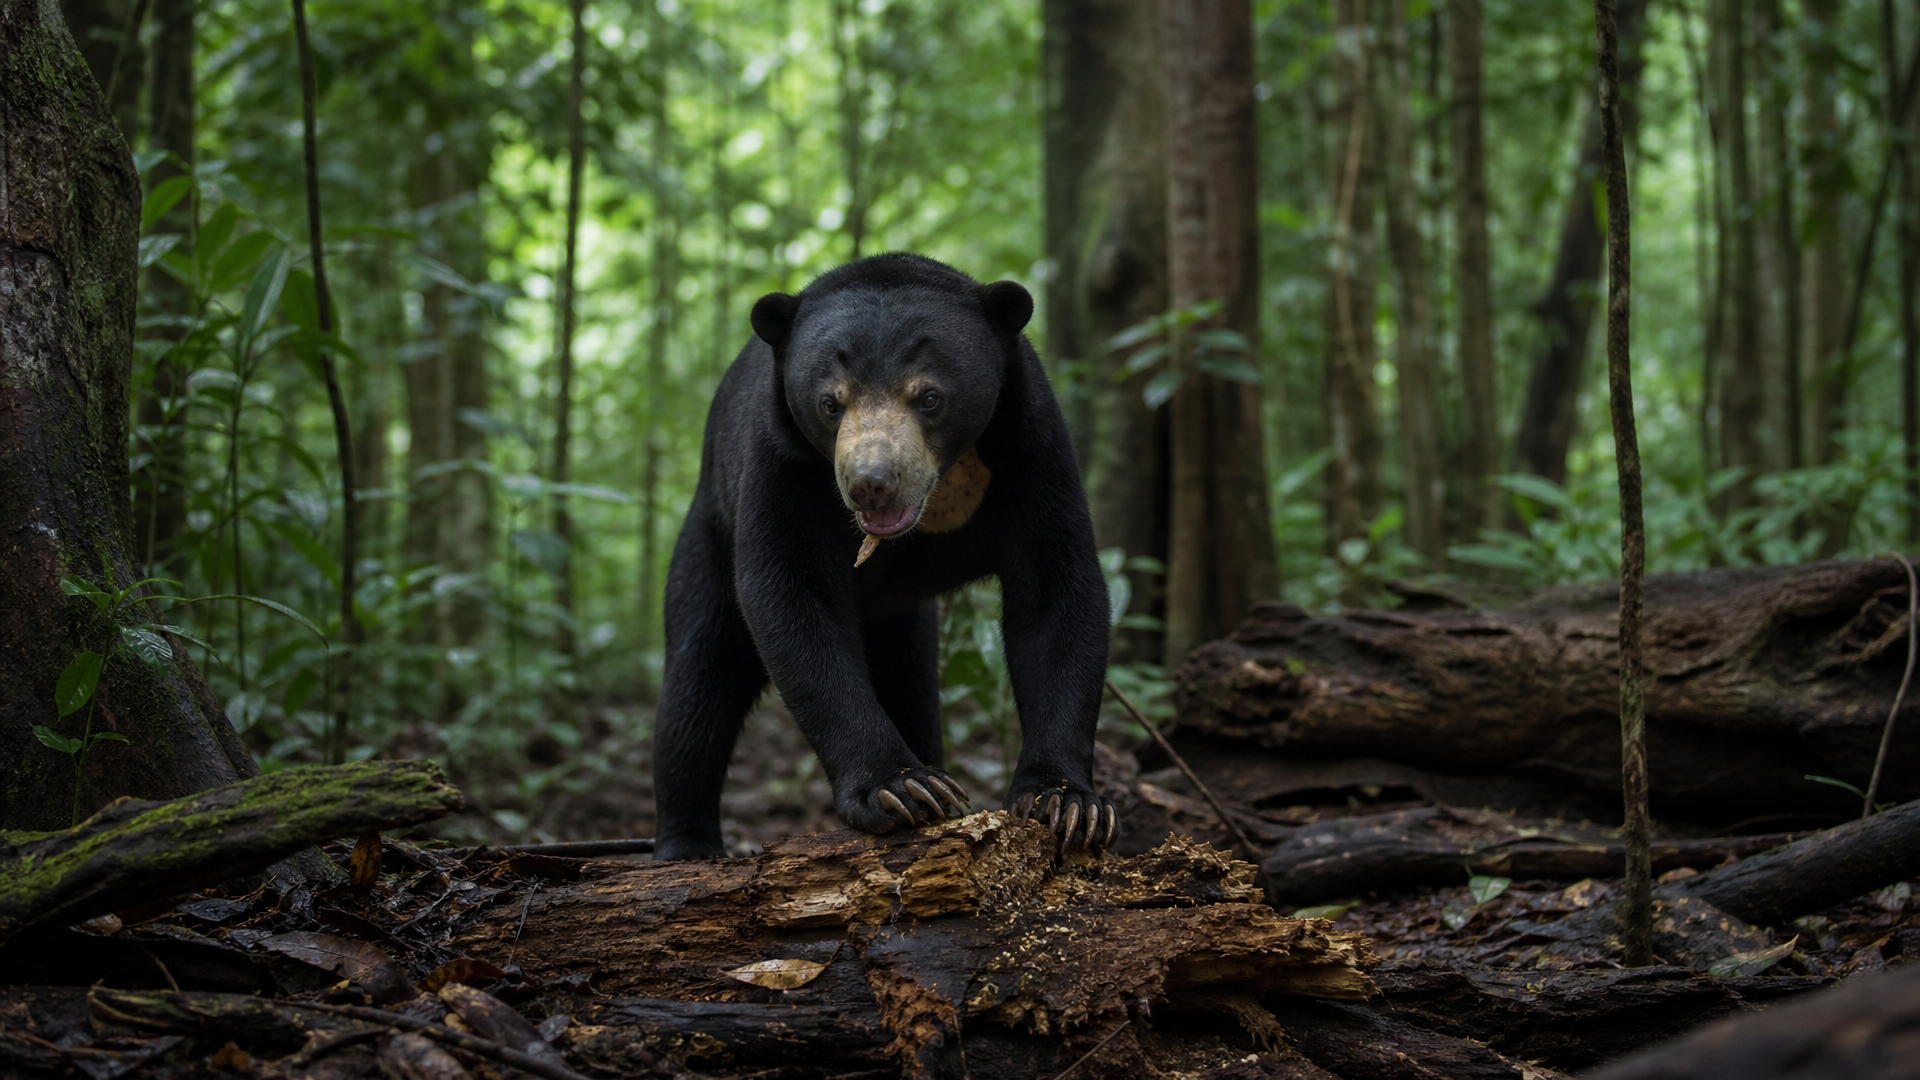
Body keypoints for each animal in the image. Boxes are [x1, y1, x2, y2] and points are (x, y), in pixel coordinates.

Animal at [650, 253, 1117, 861]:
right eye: (830, 402)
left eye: (930, 397)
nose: (871, 484)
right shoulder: (780, 463)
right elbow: (792, 595)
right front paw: (901, 788)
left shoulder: (1031, 448)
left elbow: (1055, 592)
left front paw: (1064, 802)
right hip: (709, 533)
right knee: (699, 680)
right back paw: (686, 847)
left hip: (903, 618)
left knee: (910, 683)